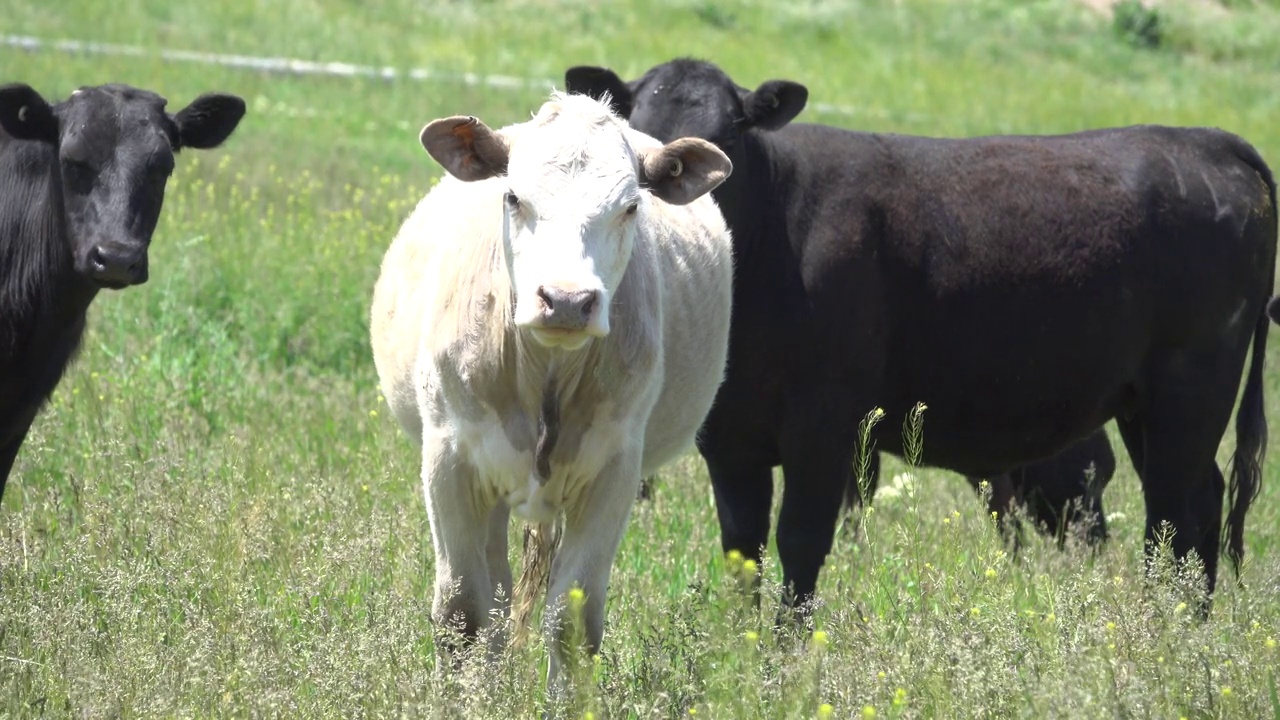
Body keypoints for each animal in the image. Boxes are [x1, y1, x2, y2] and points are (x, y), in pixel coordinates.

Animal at [368, 92, 732, 681]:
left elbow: (570, 622)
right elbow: (461, 615)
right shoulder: (450, 459)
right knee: (491, 605)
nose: (565, 300)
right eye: (513, 196)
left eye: (630, 206)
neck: (544, 372)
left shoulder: (612, 472)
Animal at [573, 60, 1280, 609]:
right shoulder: (730, 437)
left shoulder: (825, 427)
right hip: (1144, 403)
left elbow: (801, 544)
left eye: (729, 138)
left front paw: (788, 662)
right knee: (1194, 506)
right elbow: (743, 550)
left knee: (1176, 510)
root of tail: (1211, 142)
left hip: (1192, 384)